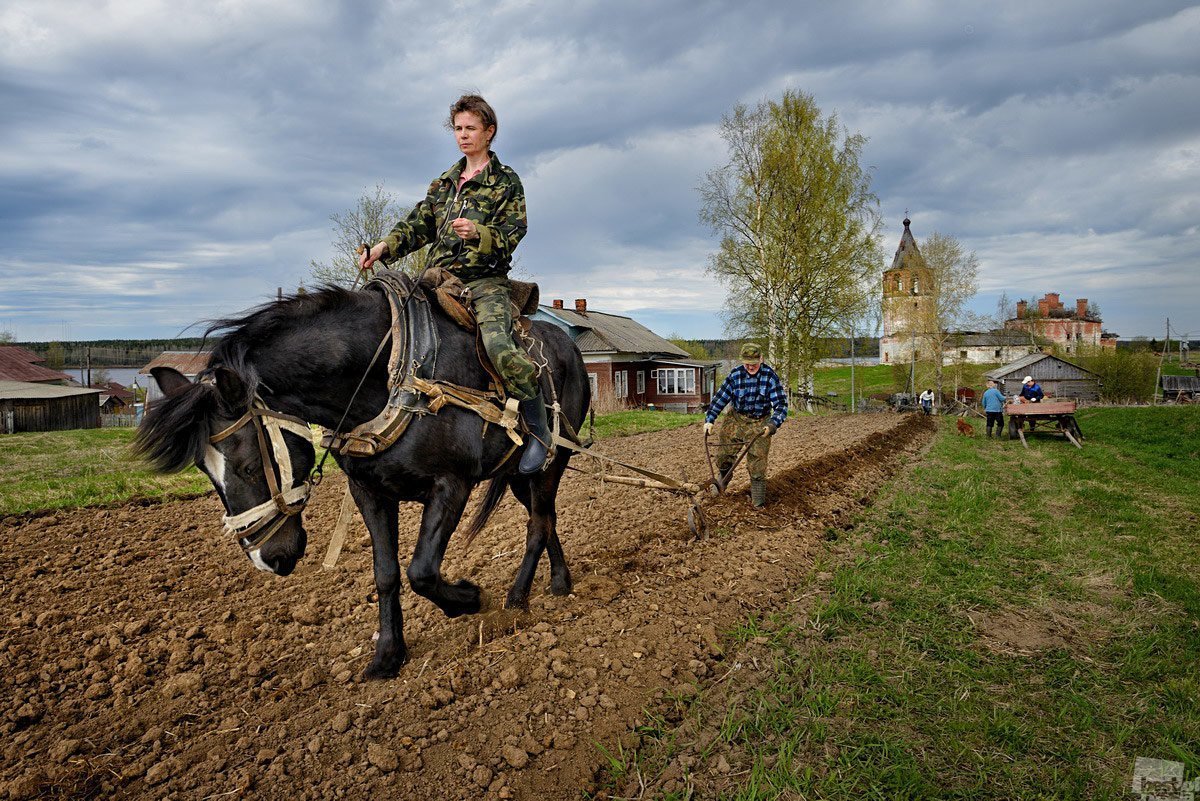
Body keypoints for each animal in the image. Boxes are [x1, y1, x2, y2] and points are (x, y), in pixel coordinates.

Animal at [132, 278, 590, 681]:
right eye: (204, 472)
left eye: (246, 464)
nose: (267, 559)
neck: (392, 371)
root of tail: (569, 346)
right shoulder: (368, 491)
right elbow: (386, 574)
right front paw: (388, 656)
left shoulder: (451, 485)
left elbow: (421, 571)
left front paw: (469, 599)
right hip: (517, 476)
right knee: (545, 520)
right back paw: (559, 581)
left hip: (551, 462)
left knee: (537, 524)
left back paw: (517, 599)